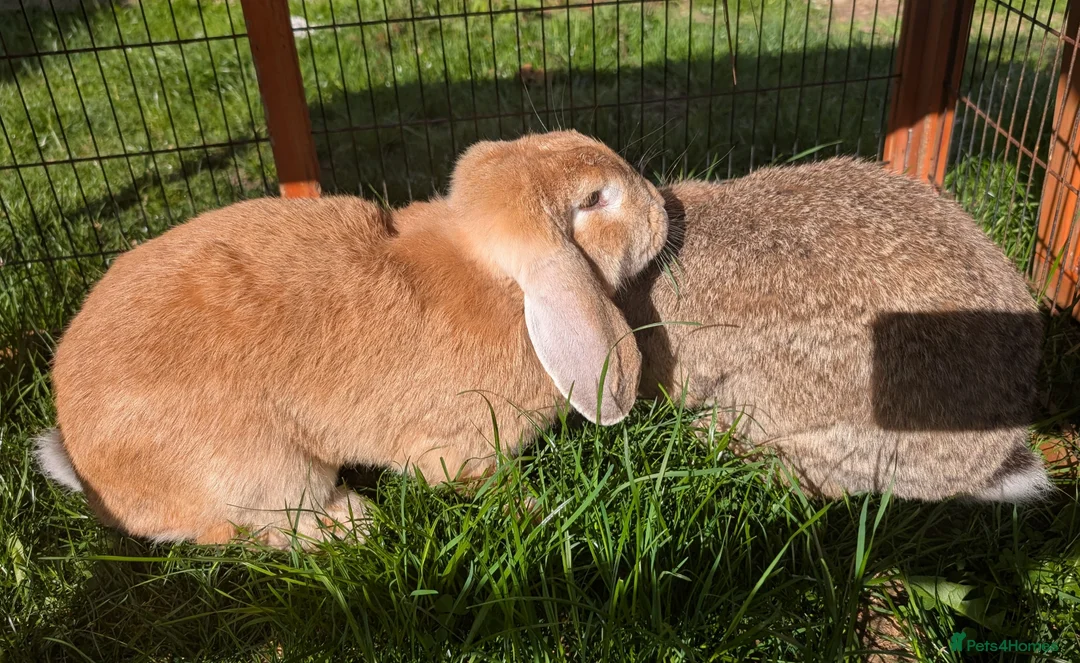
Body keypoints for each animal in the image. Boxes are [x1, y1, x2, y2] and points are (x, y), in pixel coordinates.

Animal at [34, 130, 670, 547]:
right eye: (595, 201)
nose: (663, 208)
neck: (500, 287)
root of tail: (91, 474)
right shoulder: (455, 447)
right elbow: (468, 479)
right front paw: (538, 508)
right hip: (268, 473)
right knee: (252, 530)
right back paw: (355, 523)